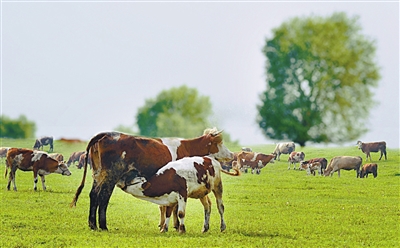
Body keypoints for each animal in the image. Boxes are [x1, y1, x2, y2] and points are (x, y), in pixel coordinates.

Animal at [70, 128, 234, 231]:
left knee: (93, 195)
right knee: (103, 197)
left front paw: (166, 225)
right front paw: (174, 226)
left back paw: (92, 225)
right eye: (219, 143)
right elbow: (173, 207)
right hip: (110, 176)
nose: (232, 155)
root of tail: (107, 134)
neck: (187, 147)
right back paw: (103, 226)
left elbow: (167, 206)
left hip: (98, 175)